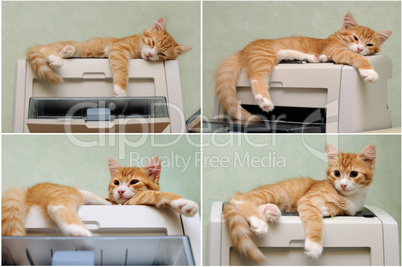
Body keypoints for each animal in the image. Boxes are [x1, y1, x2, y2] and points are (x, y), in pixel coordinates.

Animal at [1, 157, 199, 237]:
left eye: (134, 182)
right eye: (117, 183)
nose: (120, 191)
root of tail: (27, 190)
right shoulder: (133, 201)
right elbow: (156, 194)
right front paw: (184, 203)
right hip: (67, 193)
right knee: (57, 206)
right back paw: (78, 230)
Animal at [26, 16, 192, 97]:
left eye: (162, 54)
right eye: (152, 42)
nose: (151, 54)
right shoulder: (118, 49)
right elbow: (123, 69)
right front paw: (120, 89)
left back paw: (65, 52)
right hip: (67, 45)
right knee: (46, 49)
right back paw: (56, 58)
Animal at [217, 12, 392, 121]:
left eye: (369, 44)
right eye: (355, 38)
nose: (360, 48)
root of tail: (243, 50)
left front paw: (323, 57)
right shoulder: (335, 49)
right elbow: (355, 57)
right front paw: (369, 71)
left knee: (281, 54)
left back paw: (310, 57)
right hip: (263, 57)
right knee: (257, 77)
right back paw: (264, 100)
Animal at [225, 144, 376, 264]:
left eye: (354, 174)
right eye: (337, 173)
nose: (343, 185)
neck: (350, 197)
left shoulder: (354, 210)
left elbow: (341, 209)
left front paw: (327, 208)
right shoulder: (306, 200)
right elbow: (315, 220)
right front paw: (315, 245)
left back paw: (270, 211)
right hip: (277, 193)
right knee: (240, 198)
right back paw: (259, 222)